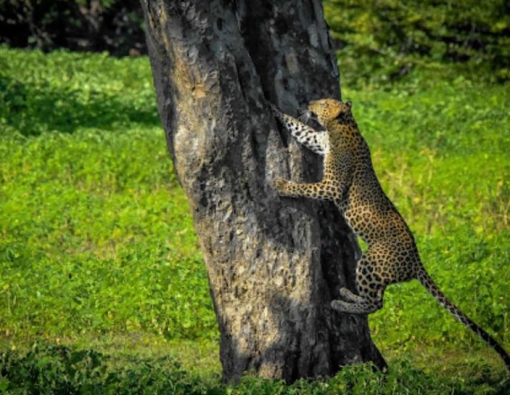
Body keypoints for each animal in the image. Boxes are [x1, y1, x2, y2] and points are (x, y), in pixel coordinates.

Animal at [268, 99, 510, 372]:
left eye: (323, 103)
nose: (309, 103)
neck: (343, 128)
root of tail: (416, 261)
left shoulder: (332, 185)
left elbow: (306, 188)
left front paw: (283, 186)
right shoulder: (318, 140)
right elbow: (300, 129)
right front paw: (274, 109)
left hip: (371, 260)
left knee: (376, 303)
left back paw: (340, 303)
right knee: (375, 298)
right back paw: (347, 294)